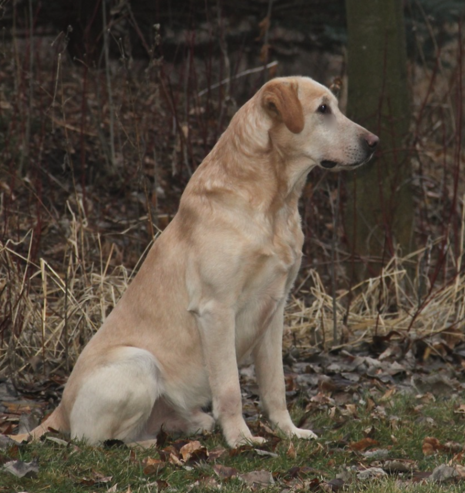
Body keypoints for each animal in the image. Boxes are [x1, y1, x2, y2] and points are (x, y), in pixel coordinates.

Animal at [15, 76, 378, 447]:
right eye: (323, 109)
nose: (374, 143)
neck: (274, 203)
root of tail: (58, 410)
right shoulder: (216, 309)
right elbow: (230, 389)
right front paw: (241, 439)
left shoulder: (276, 308)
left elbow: (275, 386)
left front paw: (288, 431)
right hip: (139, 362)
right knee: (92, 440)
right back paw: (149, 444)